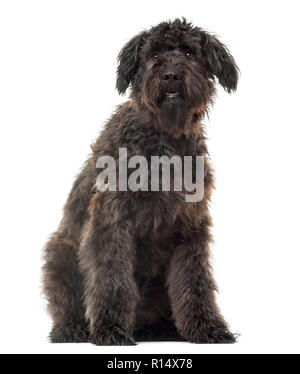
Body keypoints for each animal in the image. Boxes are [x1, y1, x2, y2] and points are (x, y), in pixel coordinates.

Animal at [42, 17, 239, 344]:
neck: (165, 140)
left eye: (189, 53)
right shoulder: (111, 221)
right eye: (155, 55)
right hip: (61, 253)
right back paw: (72, 329)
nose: (171, 76)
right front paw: (110, 329)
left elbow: (195, 280)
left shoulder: (190, 227)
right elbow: (113, 277)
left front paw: (206, 327)